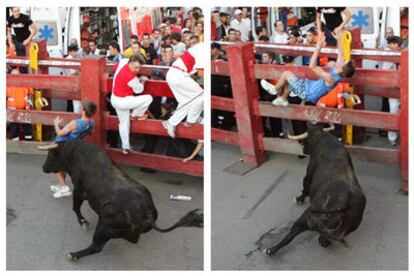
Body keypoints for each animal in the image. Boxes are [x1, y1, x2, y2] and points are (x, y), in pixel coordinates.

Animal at [41, 141, 203, 260]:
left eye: (51, 155)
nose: (43, 167)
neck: (73, 153)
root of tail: (146, 211)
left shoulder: (79, 191)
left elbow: (75, 207)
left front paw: (83, 223)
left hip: (104, 225)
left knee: (97, 246)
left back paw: (74, 254)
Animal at [266, 126, 366, 256]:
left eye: (306, 141)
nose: (303, 150)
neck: (323, 139)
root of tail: (346, 204)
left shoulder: (309, 173)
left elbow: (305, 187)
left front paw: (299, 199)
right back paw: (323, 241)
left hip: (306, 217)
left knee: (291, 235)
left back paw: (271, 250)